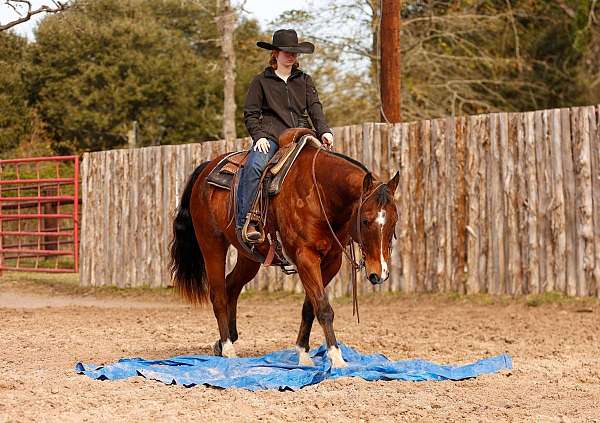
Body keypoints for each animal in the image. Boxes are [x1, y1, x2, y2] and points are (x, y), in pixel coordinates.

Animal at [169, 127, 400, 370]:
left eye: (394, 221)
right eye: (365, 220)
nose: (379, 274)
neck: (319, 192)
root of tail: (206, 170)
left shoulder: (331, 261)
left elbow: (310, 307)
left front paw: (303, 354)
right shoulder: (305, 257)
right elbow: (323, 307)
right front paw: (336, 358)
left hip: (249, 255)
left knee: (231, 286)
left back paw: (224, 343)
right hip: (212, 245)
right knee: (219, 294)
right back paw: (228, 349)